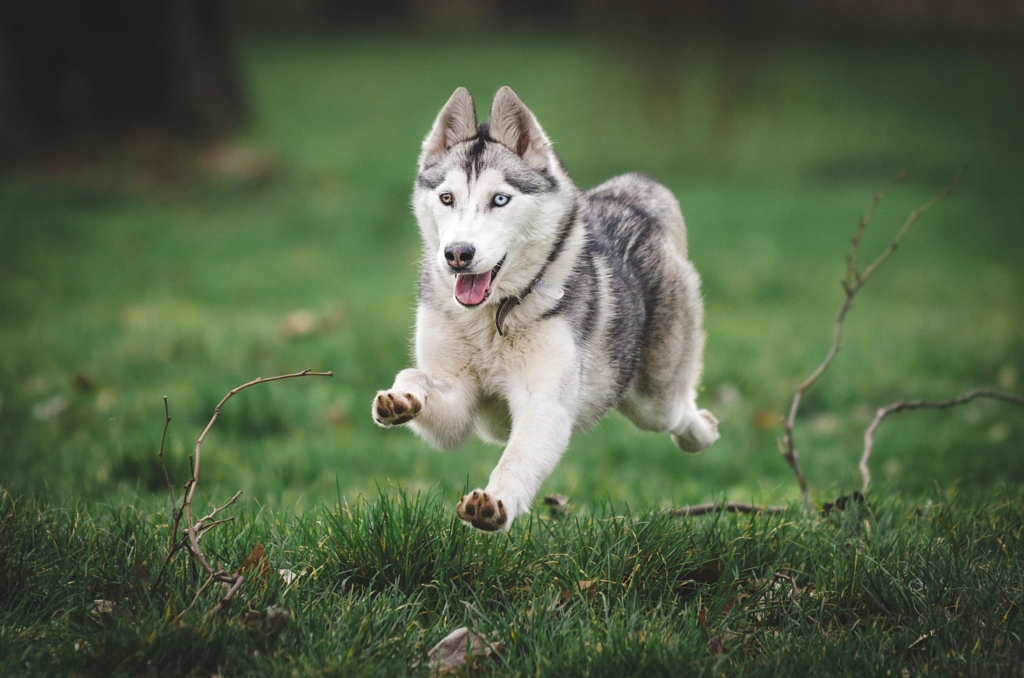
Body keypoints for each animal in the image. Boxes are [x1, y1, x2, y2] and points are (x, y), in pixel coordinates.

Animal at [372, 87, 716, 532]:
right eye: (447, 198)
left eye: (500, 200)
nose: (457, 255)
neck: (494, 318)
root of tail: (627, 196)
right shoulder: (457, 399)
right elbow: (420, 381)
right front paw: (402, 397)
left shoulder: (545, 403)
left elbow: (518, 458)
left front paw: (495, 503)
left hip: (653, 397)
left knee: (676, 410)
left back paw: (703, 431)